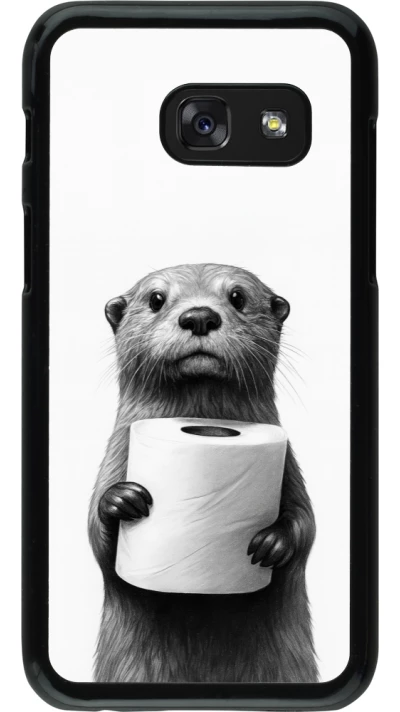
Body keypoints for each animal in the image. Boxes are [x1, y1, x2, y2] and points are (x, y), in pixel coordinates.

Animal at [88, 263, 317, 683]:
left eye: (238, 297)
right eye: (156, 299)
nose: (199, 316)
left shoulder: (290, 467)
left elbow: (306, 524)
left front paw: (273, 542)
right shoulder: (114, 456)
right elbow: (96, 539)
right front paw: (121, 500)